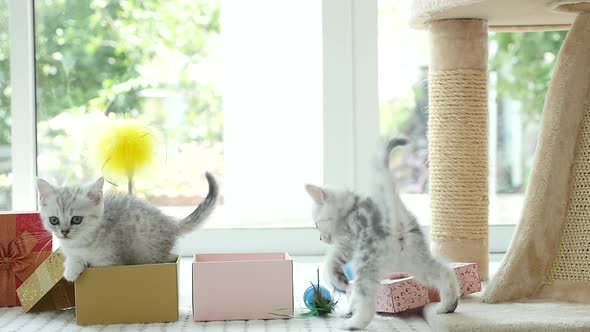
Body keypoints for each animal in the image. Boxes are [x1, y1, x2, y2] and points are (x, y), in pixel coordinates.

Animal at [36, 172, 220, 282]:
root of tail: (170, 223)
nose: (64, 232)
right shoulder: (73, 251)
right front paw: (72, 270)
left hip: (149, 251)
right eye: (54, 220)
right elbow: (74, 258)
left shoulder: (110, 259)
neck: (82, 242)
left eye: (76, 220)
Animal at [308, 137, 460, 330]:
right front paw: (349, 308)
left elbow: (331, 264)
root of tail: (393, 214)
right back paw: (448, 305)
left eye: (316, 224)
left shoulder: (347, 242)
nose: (321, 238)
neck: (350, 208)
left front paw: (339, 283)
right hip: (416, 260)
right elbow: (352, 294)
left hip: (366, 264)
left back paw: (353, 323)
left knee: (367, 302)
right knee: (445, 272)